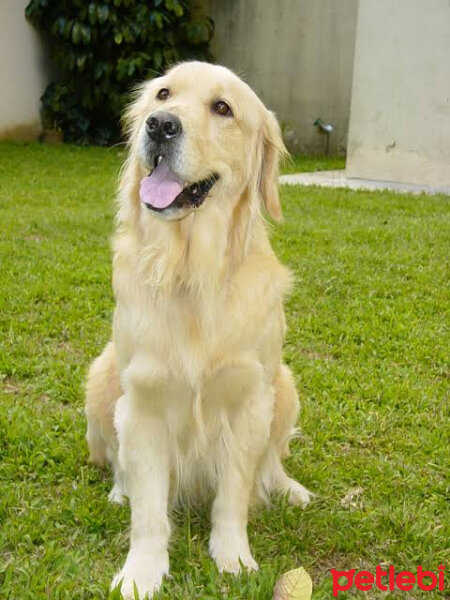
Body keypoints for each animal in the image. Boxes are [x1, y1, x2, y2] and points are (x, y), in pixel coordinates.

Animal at [87, 62, 312, 600]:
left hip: (285, 385)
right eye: (162, 94)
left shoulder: (249, 399)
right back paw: (119, 491)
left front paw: (234, 560)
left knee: (272, 460)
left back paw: (288, 488)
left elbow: (233, 495)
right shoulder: (143, 402)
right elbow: (149, 511)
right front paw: (141, 572)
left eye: (222, 107)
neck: (190, 272)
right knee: (117, 457)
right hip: (101, 373)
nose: (160, 126)